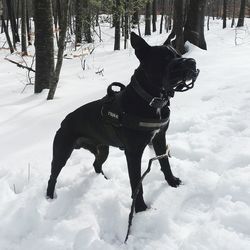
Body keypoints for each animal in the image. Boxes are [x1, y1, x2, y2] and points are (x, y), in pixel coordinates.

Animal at [46, 32, 199, 213]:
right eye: (165, 58)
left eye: (179, 55)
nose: (192, 62)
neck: (150, 99)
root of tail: (63, 121)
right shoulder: (133, 153)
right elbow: (136, 183)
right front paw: (140, 208)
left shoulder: (159, 138)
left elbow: (165, 163)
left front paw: (172, 181)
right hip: (61, 152)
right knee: (53, 176)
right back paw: (49, 197)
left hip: (103, 150)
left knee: (96, 164)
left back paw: (104, 180)